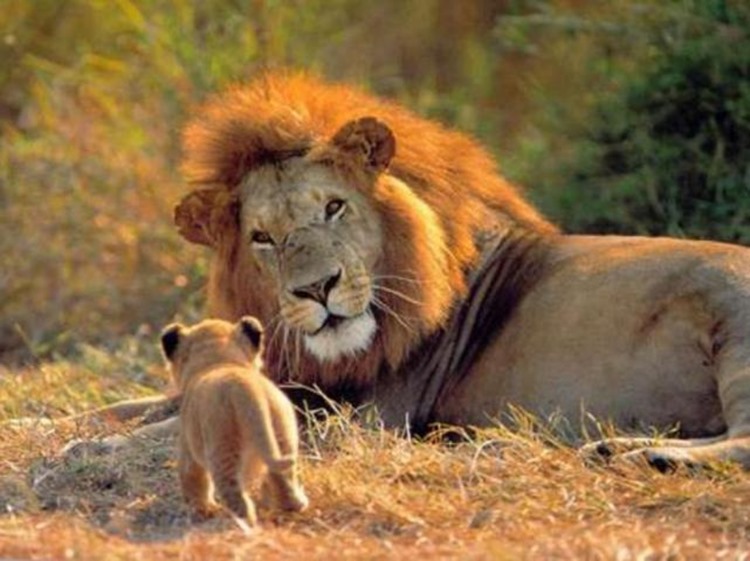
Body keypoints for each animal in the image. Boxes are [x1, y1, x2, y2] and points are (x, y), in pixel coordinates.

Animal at [66, 72, 750, 471]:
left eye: (333, 207)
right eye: (263, 238)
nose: (317, 288)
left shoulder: (361, 415)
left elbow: (179, 422)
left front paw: (92, 450)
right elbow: (137, 403)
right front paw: (60, 424)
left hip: (734, 329)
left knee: (743, 442)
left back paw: (635, 454)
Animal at [161, 316, 308, 524]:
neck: (220, 362)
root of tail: (246, 390)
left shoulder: (187, 444)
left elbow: (191, 476)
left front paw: (201, 509)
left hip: (222, 447)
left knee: (234, 494)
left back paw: (239, 522)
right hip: (282, 435)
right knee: (282, 476)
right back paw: (293, 506)